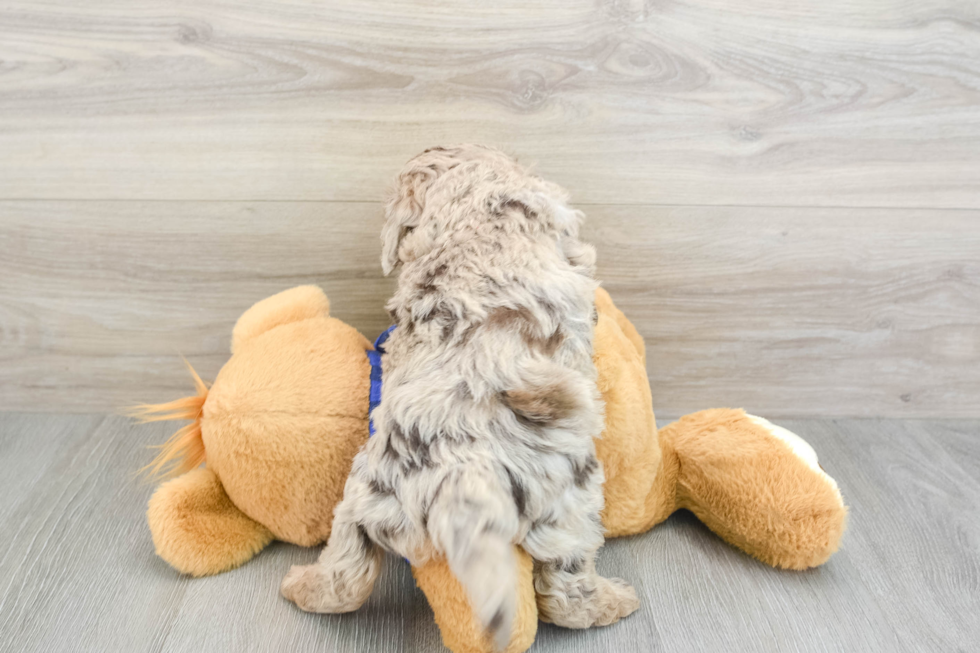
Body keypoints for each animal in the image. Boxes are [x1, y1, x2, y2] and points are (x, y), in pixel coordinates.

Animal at [280, 144, 640, 648]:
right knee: (567, 590)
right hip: (570, 504)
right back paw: (611, 602)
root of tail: (466, 475)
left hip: (367, 499)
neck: (479, 216)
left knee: (346, 572)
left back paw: (304, 587)